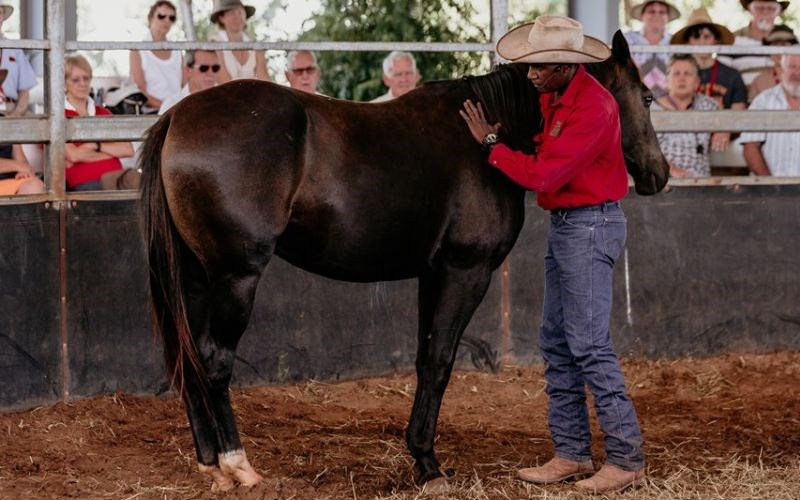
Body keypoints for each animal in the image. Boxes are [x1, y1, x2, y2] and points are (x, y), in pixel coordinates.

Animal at [139, 32, 668, 492]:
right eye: (646, 97)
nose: (657, 173)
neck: (490, 128)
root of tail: (178, 117)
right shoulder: (466, 271)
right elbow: (440, 362)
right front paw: (429, 465)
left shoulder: (431, 274)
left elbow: (423, 357)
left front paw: (420, 456)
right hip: (236, 276)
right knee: (214, 360)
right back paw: (238, 466)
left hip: (195, 277)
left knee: (188, 358)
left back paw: (211, 465)